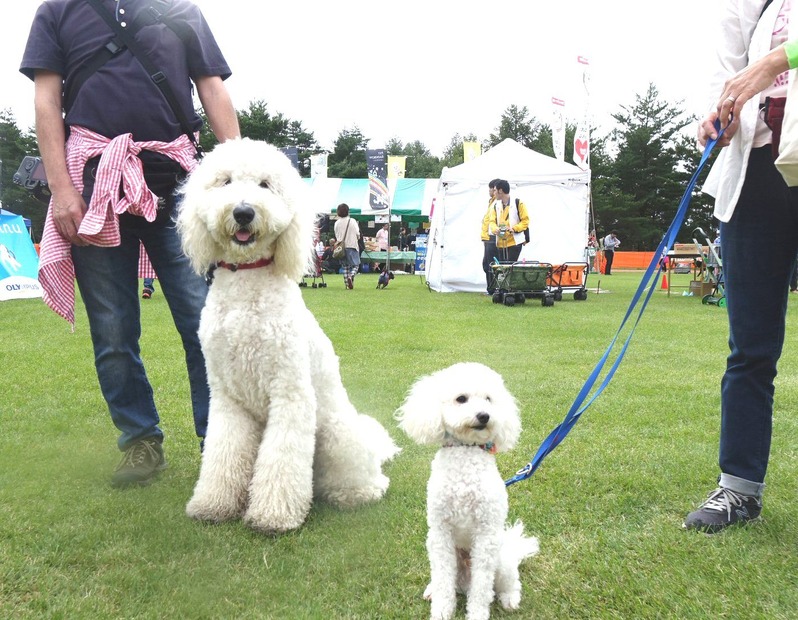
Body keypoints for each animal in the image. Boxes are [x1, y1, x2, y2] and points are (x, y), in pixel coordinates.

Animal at [177, 139, 398, 532]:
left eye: (266, 185)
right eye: (225, 181)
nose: (243, 212)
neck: (247, 282)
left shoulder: (290, 393)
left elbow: (281, 459)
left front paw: (273, 515)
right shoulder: (228, 397)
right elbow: (223, 452)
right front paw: (213, 504)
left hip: (336, 435)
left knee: (369, 481)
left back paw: (354, 493)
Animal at [396, 360, 540, 620]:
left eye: (489, 399)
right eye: (461, 399)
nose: (484, 415)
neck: (465, 452)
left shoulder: (485, 536)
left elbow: (482, 588)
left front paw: (477, 614)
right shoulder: (440, 533)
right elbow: (444, 582)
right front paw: (441, 611)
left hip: (502, 559)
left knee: (509, 582)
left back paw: (510, 599)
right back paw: (432, 589)